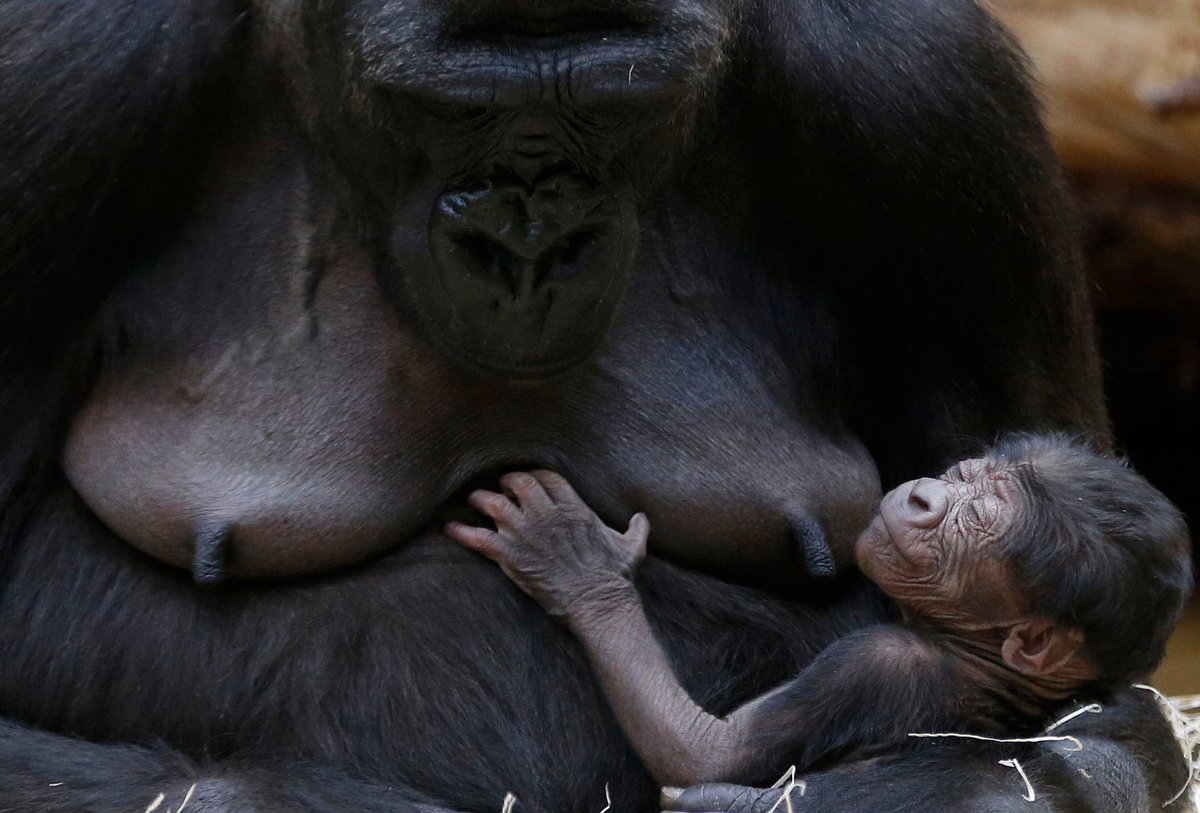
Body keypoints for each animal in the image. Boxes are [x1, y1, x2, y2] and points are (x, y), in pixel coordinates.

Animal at [446, 436, 1195, 791]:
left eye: (978, 519)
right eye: (963, 476)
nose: (924, 496)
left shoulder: (877, 664)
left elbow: (706, 754)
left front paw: (579, 566)